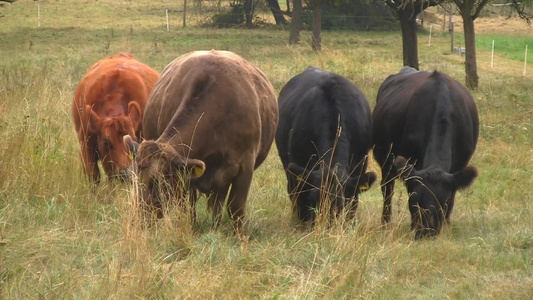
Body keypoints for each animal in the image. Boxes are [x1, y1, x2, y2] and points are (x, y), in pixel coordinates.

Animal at [122, 49, 276, 237]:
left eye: (157, 181)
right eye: (134, 180)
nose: (138, 220)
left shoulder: (245, 166)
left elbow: (236, 208)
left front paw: (239, 237)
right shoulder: (186, 176)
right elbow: (188, 207)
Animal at [370, 67, 478, 239]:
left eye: (443, 203)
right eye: (415, 202)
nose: (426, 233)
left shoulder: (459, 168)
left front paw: (446, 224)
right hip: (386, 161)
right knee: (387, 190)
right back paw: (385, 223)